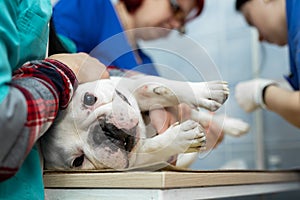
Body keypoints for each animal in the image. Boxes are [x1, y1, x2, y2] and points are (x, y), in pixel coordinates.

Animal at [40, 75, 248, 170]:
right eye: (78, 161)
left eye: (89, 99)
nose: (106, 131)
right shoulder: (136, 161)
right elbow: (153, 148)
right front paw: (180, 138)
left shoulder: (132, 85)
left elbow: (168, 88)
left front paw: (205, 91)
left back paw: (235, 125)